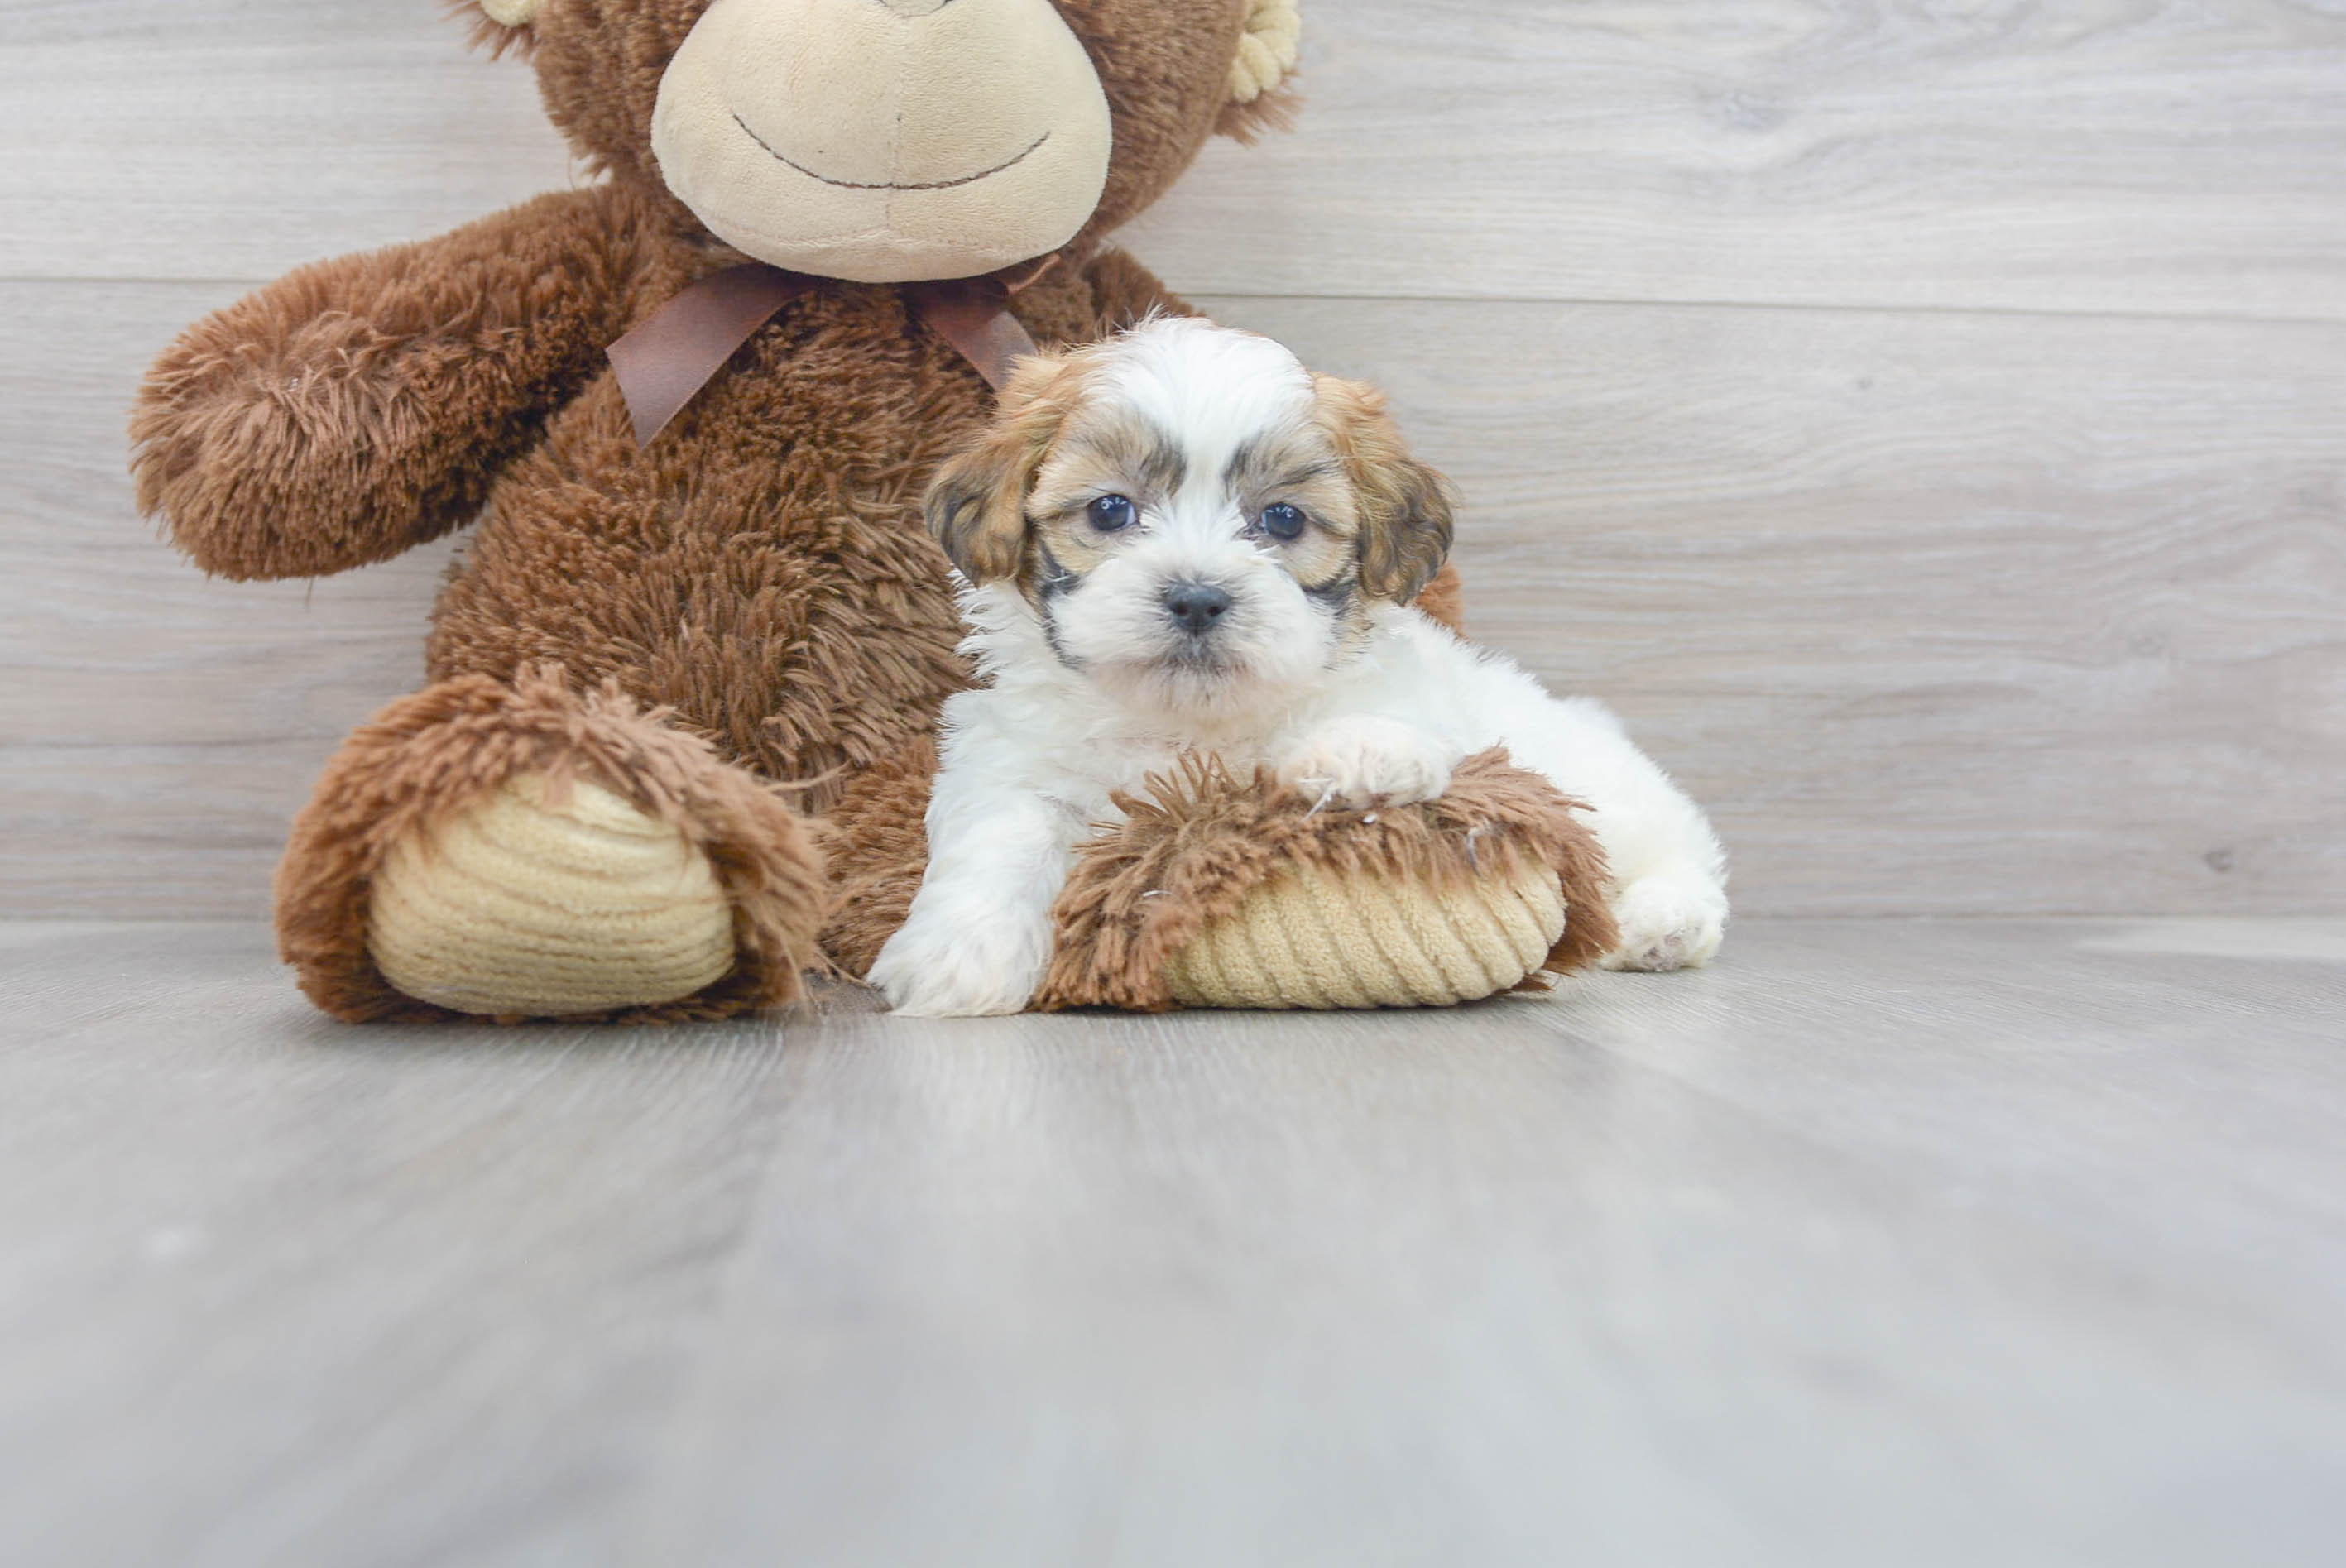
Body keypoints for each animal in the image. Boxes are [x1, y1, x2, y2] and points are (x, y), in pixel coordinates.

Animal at [867, 324, 1726, 1023]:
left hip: (1609, 793)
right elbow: (1003, 831)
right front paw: (961, 955)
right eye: (1110, 510)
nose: (1196, 596)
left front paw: (1360, 754)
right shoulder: (1013, 756)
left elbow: (1388, 718)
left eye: (1282, 519)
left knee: (1672, 849)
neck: (1191, 721)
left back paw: (1663, 923)